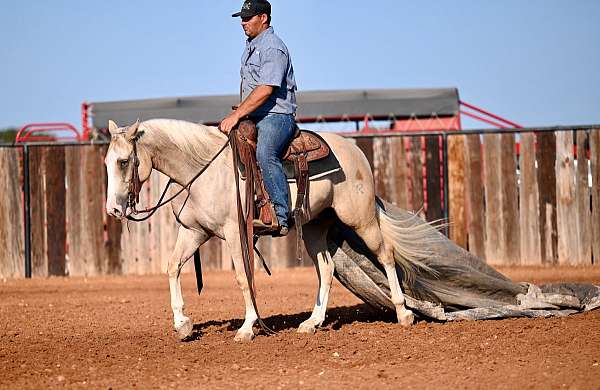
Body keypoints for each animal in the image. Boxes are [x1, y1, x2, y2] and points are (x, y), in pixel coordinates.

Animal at [104, 118, 436, 342]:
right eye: (107, 162)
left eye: (124, 161)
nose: (113, 210)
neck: (203, 170)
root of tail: (355, 151)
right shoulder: (194, 231)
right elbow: (172, 267)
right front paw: (182, 324)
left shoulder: (235, 233)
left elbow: (243, 277)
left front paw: (247, 327)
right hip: (314, 226)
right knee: (327, 269)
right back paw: (312, 322)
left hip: (360, 218)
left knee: (386, 255)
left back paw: (403, 313)